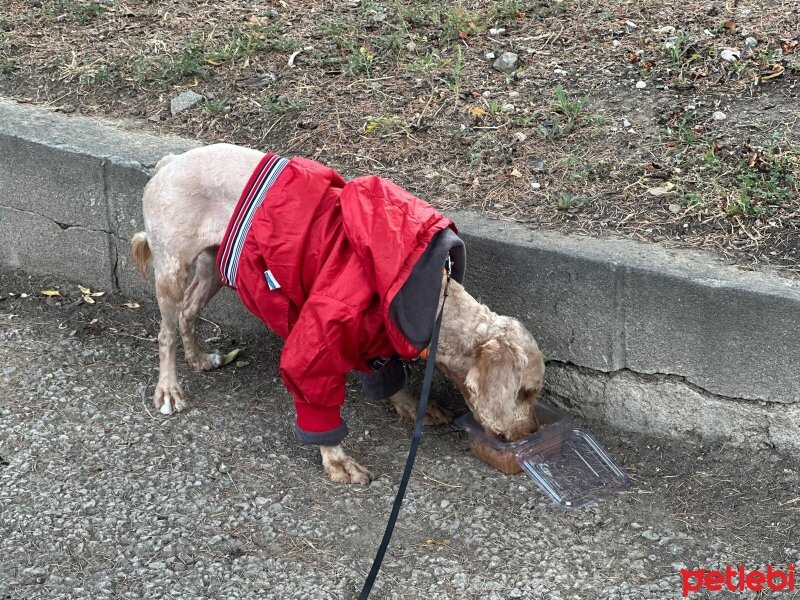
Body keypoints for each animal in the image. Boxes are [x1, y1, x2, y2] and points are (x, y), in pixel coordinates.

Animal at [133, 143, 544, 486]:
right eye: (525, 392)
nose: (530, 433)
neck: (433, 302)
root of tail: (169, 163)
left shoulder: (373, 336)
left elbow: (389, 377)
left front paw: (412, 406)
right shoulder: (319, 339)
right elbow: (317, 402)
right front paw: (336, 460)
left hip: (215, 266)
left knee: (188, 312)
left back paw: (199, 358)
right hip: (170, 268)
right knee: (166, 331)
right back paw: (169, 388)